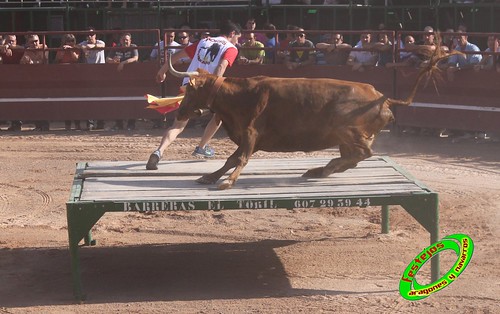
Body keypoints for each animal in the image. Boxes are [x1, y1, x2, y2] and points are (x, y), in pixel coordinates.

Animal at [170, 48, 452, 189]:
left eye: (189, 90)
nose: (180, 112)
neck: (239, 95)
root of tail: (383, 98)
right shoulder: (248, 137)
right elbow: (231, 158)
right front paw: (210, 176)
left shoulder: (251, 134)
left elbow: (239, 158)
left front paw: (227, 181)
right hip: (348, 137)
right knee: (354, 157)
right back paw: (321, 169)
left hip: (346, 130)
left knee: (362, 154)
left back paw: (323, 168)